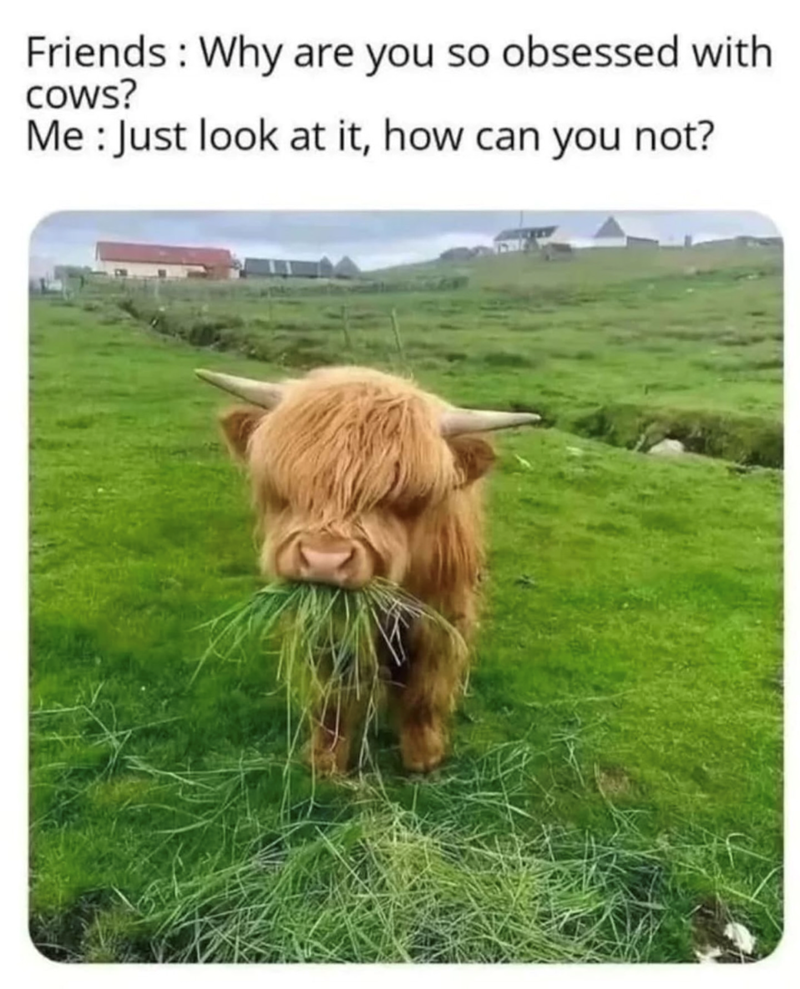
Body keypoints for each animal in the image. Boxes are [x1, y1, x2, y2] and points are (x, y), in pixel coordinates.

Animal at [197, 365, 539, 775]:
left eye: (406, 497)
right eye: (289, 487)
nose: (324, 560)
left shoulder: (442, 614)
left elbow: (426, 686)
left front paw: (423, 755)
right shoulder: (327, 626)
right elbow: (332, 691)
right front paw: (325, 758)